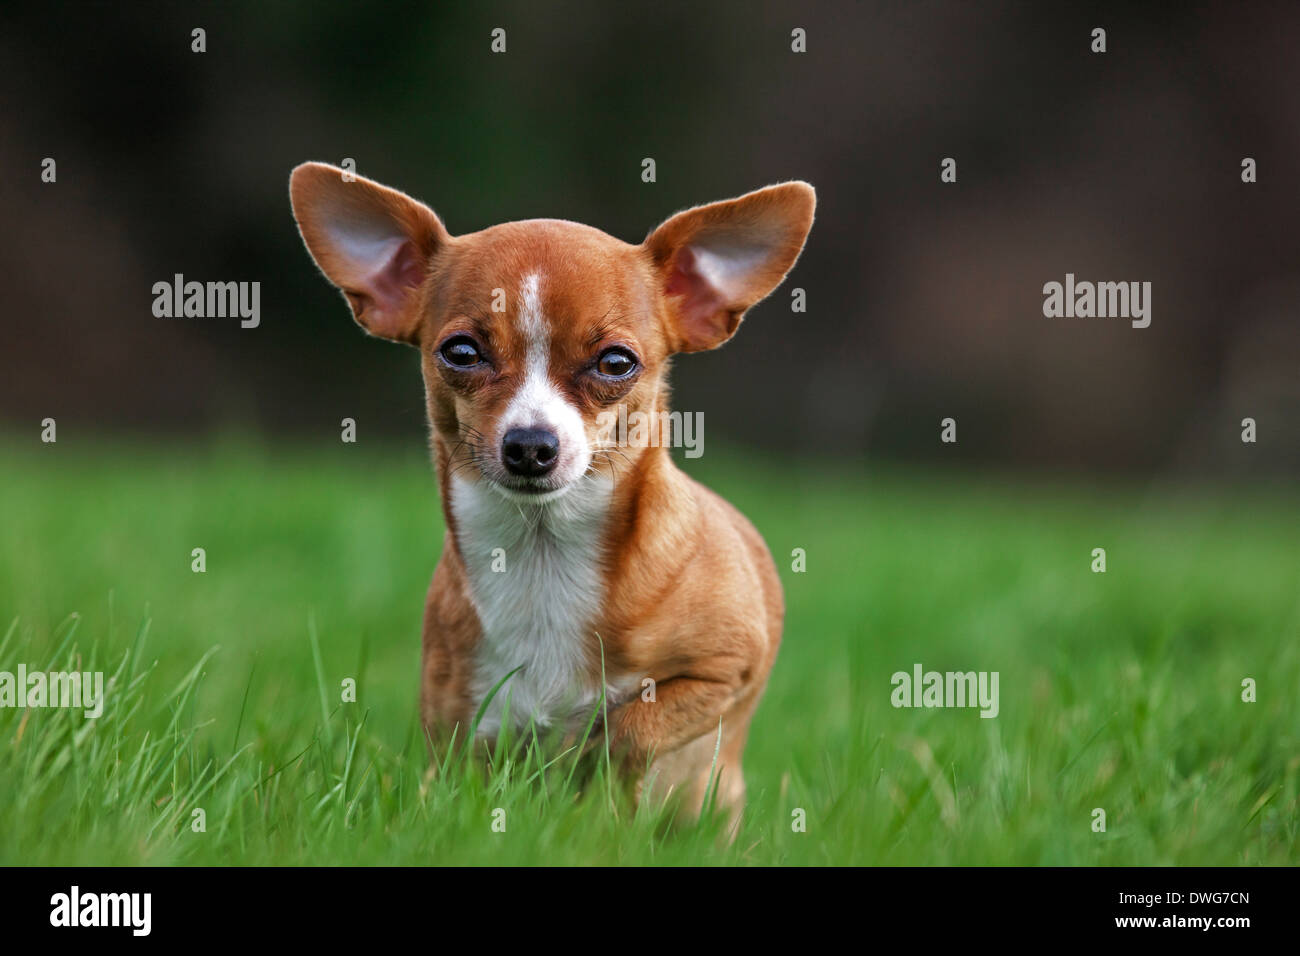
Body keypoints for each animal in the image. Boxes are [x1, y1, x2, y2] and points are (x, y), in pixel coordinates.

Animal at [292, 160, 811, 816]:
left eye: (616, 363)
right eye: (461, 352)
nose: (531, 445)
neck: (542, 554)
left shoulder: (725, 672)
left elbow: (629, 729)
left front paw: (596, 777)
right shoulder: (459, 731)